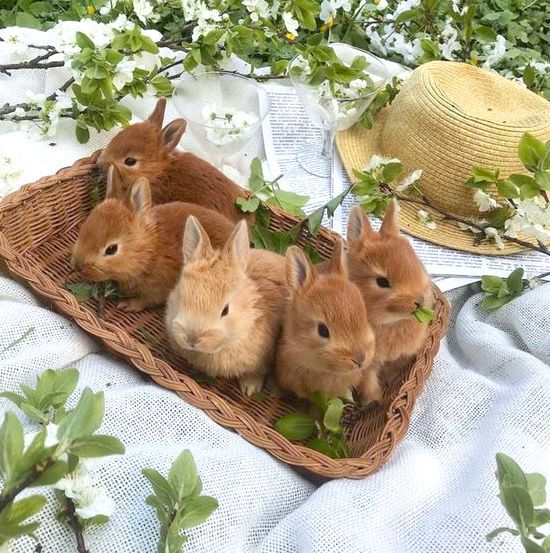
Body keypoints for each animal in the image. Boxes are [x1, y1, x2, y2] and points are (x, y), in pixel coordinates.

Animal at [71, 168, 235, 310]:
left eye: (111, 249)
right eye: (85, 226)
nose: (78, 265)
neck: (150, 252)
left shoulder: (157, 290)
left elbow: (145, 301)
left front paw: (126, 305)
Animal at [350, 199, 436, 402]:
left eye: (417, 262)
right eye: (382, 281)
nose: (420, 301)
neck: (390, 323)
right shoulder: (367, 365)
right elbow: (368, 382)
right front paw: (374, 399)